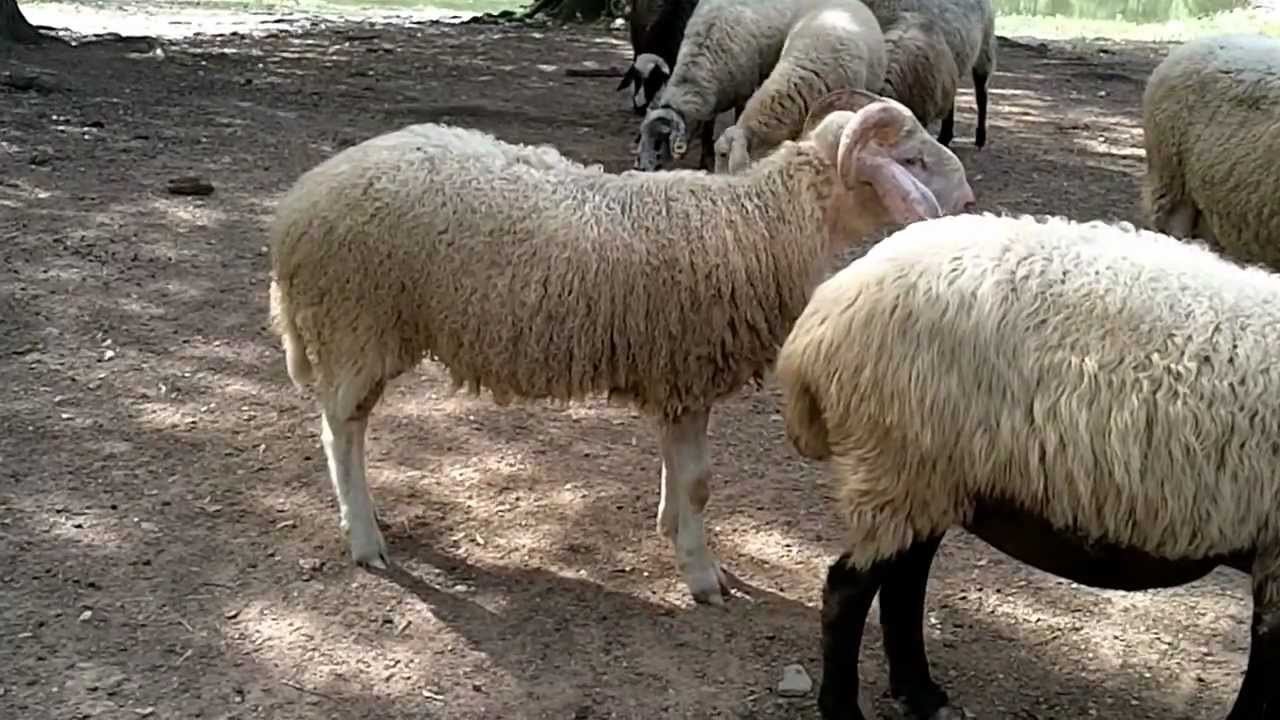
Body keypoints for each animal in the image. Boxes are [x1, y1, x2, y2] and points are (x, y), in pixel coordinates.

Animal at [267, 94, 976, 607]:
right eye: (911, 162)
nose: (969, 201)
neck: (762, 223)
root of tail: (296, 206)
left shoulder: (678, 378)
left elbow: (680, 475)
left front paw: (670, 530)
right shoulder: (690, 370)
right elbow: (699, 485)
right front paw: (702, 576)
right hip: (359, 324)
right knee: (341, 431)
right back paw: (364, 537)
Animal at [634, 0, 826, 171]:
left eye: (659, 142)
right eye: (641, 137)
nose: (640, 168)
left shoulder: (743, 93)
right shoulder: (709, 107)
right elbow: (707, 132)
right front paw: (706, 160)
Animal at [774, 211, 1280, 719]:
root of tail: (824, 314)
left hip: (929, 474)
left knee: (903, 581)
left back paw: (920, 694)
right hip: (897, 466)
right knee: (849, 590)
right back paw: (847, 707)